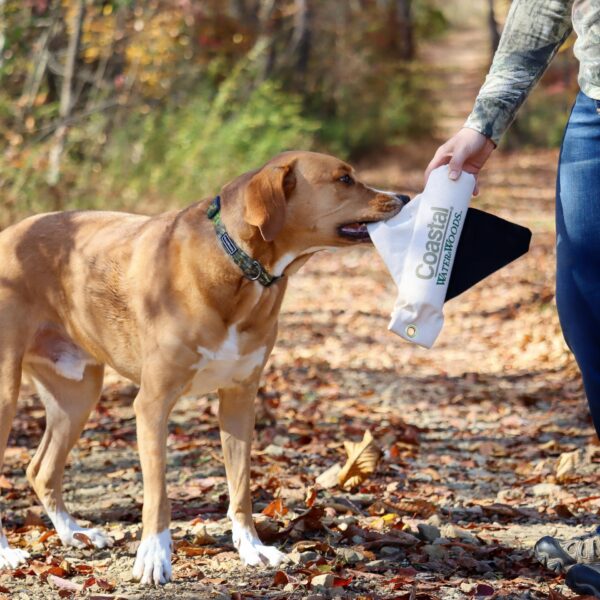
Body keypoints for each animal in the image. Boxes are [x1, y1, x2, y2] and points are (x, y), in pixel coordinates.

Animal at [0, 151, 408, 584]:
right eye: (344, 179)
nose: (403, 197)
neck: (239, 265)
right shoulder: (153, 404)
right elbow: (158, 496)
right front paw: (154, 556)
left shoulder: (239, 401)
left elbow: (241, 488)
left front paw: (252, 549)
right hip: (7, 394)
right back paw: (8, 553)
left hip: (77, 394)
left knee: (40, 470)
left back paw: (73, 532)